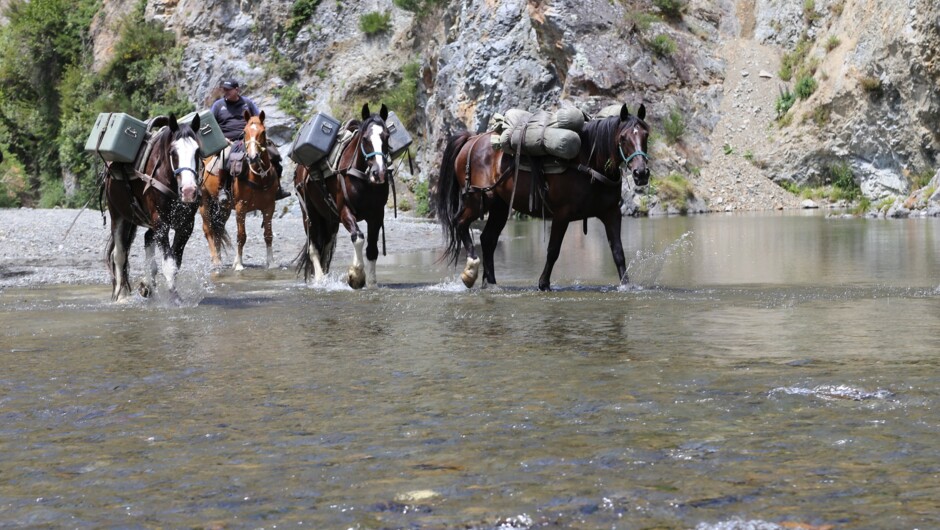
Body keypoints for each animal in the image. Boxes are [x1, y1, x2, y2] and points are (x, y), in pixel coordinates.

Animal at [103, 113, 203, 300]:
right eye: (173, 152)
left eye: (198, 151)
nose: (189, 191)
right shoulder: (161, 223)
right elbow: (169, 263)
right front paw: (174, 298)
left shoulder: (186, 225)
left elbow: (175, 261)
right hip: (118, 215)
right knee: (119, 255)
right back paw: (121, 296)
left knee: (147, 239)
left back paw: (146, 285)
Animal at [201, 110, 280, 268]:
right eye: (244, 132)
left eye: (263, 132)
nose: (253, 156)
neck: (258, 177)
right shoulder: (240, 207)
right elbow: (241, 236)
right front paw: (238, 263)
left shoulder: (269, 207)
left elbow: (268, 235)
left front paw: (271, 262)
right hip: (204, 201)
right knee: (208, 229)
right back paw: (216, 260)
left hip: (223, 208)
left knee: (218, 230)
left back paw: (219, 258)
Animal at [292, 101, 392, 286]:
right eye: (365, 138)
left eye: (387, 136)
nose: (379, 173)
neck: (363, 179)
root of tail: (300, 169)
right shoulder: (345, 211)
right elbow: (358, 237)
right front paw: (356, 276)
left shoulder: (376, 215)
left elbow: (372, 249)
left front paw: (372, 282)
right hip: (310, 214)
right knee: (314, 247)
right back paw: (320, 279)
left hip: (330, 220)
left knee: (326, 247)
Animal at [436, 103, 648, 290]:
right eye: (623, 137)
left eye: (646, 134)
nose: (641, 173)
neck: (589, 164)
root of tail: (471, 140)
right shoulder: (562, 214)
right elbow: (553, 250)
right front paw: (543, 284)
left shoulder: (611, 213)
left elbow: (618, 252)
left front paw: (626, 285)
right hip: (477, 199)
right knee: (460, 223)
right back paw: (470, 272)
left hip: (500, 206)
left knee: (488, 239)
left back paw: (491, 283)